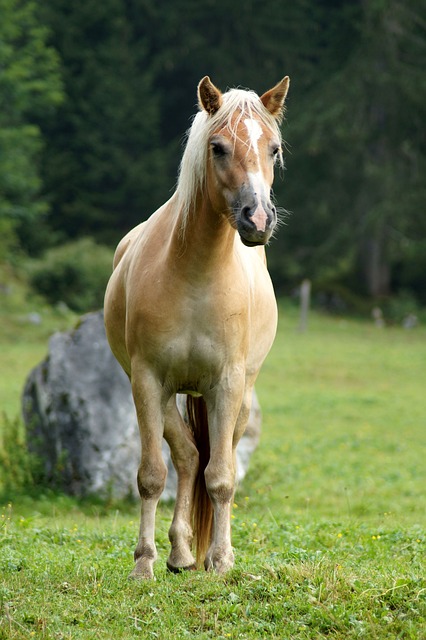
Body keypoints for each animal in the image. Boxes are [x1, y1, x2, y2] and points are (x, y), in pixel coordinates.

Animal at [103, 75, 290, 580]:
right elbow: (153, 475)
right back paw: (179, 552)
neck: (195, 275)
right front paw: (143, 563)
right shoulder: (147, 380)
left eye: (273, 150)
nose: (257, 218)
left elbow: (222, 476)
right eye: (218, 147)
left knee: (211, 459)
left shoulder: (226, 383)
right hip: (167, 393)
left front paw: (222, 561)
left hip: (240, 394)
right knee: (186, 457)